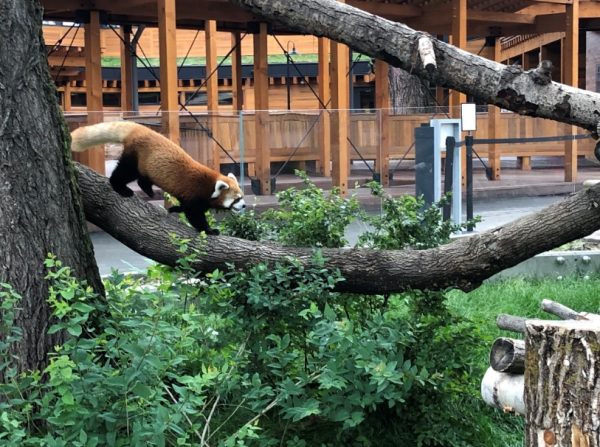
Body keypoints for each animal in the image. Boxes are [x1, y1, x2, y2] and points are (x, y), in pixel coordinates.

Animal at [71, 121, 245, 236]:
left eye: (242, 197)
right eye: (236, 199)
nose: (243, 205)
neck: (210, 184)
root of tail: (139, 129)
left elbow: (185, 207)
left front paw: (175, 209)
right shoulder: (195, 193)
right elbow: (194, 214)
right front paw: (209, 230)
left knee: (142, 178)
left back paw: (148, 190)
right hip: (137, 156)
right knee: (125, 172)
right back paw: (121, 187)